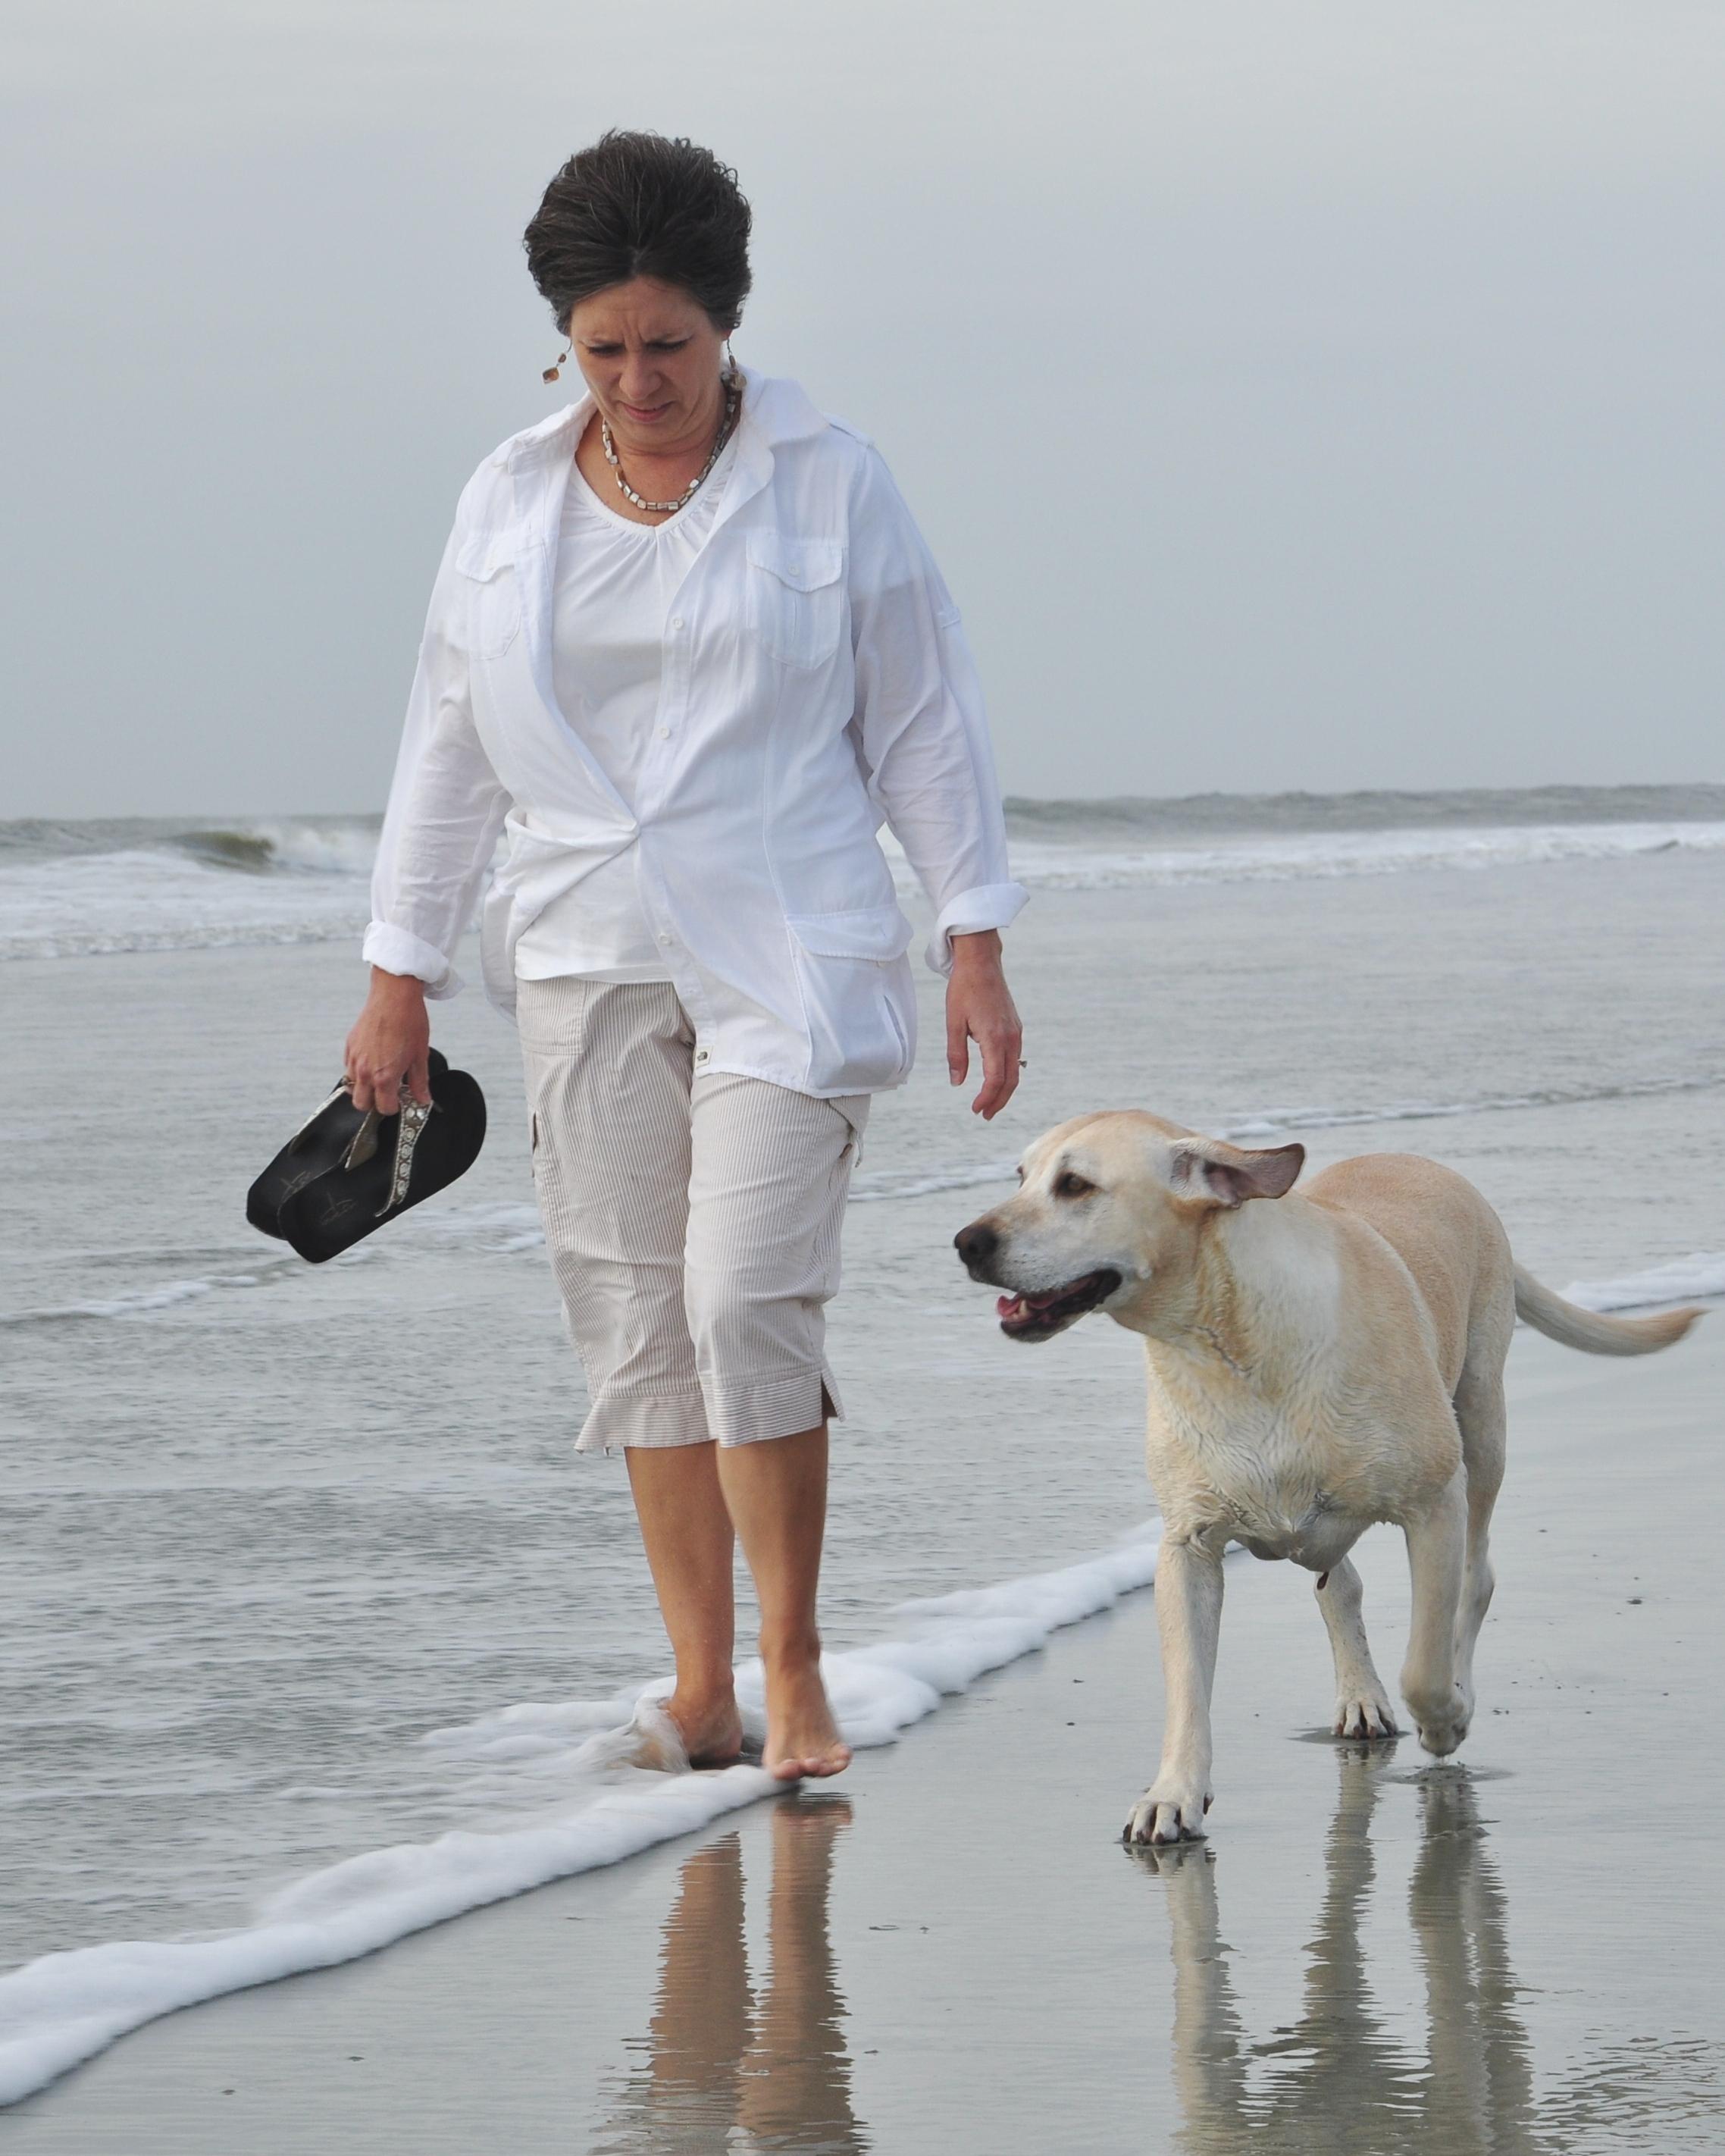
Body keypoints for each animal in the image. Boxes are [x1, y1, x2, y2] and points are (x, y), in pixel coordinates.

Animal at [948, 1120, 1708, 1845]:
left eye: (1075, 1185)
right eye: (1020, 1176)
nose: (966, 1241)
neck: (1228, 1347)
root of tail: (1423, 1162)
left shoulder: (1434, 1505)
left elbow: (1425, 1661)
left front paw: (1447, 1719)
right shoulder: (1187, 1547)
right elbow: (1188, 1684)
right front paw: (1172, 1796)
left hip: (1482, 1424)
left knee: (1476, 1573)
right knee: (1338, 1582)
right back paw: (1359, 1695)